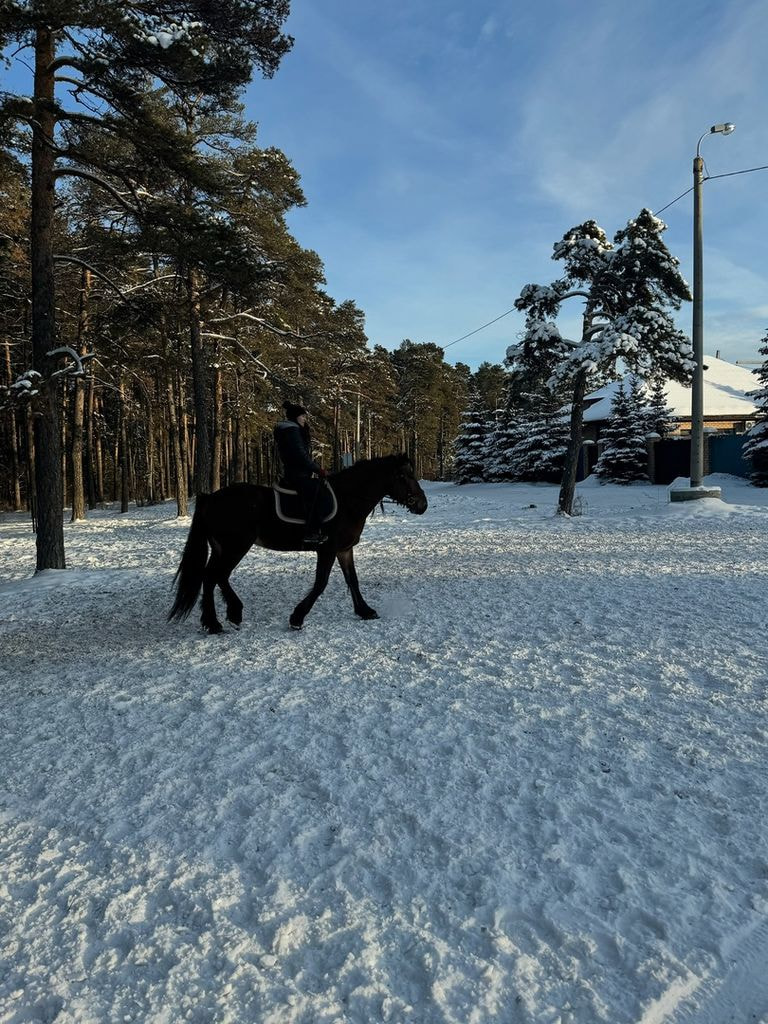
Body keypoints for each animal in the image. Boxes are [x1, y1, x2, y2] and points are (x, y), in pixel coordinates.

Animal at [167, 454, 430, 630]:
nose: (422, 505)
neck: (348, 501)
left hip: (222, 548)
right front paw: (297, 618)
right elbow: (320, 584)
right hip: (235, 547)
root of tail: (211, 498)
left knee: (211, 577)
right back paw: (222, 619)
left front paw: (365, 611)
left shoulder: (344, 549)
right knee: (215, 576)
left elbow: (352, 580)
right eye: (403, 476)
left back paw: (220, 618)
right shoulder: (328, 549)